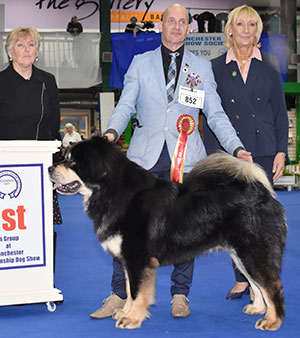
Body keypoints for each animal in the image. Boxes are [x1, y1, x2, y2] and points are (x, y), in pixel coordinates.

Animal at [48, 137, 288, 330]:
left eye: (72, 162)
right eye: (65, 157)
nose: (50, 168)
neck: (113, 192)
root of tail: (262, 192)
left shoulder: (137, 259)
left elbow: (137, 292)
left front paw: (132, 319)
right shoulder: (127, 260)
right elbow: (129, 289)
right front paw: (125, 311)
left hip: (253, 253)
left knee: (272, 286)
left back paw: (272, 321)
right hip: (240, 256)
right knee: (256, 285)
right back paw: (257, 309)